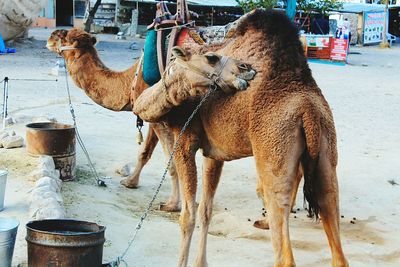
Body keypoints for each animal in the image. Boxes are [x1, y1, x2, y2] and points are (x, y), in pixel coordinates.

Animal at [134, 9, 346, 267]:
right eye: (212, 58)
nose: (246, 69)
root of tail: (308, 110)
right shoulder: (214, 153)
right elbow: (206, 210)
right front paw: (201, 262)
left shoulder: (185, 140)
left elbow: (188, 216)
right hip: (326, 149)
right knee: (330, 211)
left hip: (274, 151)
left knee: (283, 246)